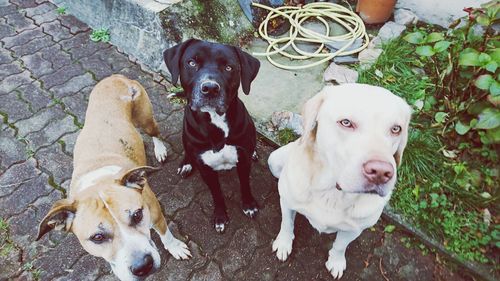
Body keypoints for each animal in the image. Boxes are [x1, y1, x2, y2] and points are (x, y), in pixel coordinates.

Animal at [36, 74, 191, 280]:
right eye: (97, 237)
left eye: (137, 215)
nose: (143, 266)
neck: (98, 180)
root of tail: (116, 77)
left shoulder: (156, 212)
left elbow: (166, 234)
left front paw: (175, 247)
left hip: (145, 119)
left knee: (154, 132)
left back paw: (159, 149)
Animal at [165, 39, 262, 232]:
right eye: (192, 63)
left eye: (229, 67)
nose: (210, 88)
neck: (215, 122)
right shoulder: (205, 168)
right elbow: (216, 193)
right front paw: (220, 216)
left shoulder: (243, 160)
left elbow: (245, 184)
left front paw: (249, 205)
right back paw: (186, 163)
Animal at [268, 83, 412, 278]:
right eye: (346, 122)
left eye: (396, 129)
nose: (381, 172)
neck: (332, 193)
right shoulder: (287, 203)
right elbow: (286, 224)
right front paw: (283, 243)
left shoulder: (354, 229)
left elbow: (340, 246)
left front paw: (336, 262)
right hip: (274, 162)